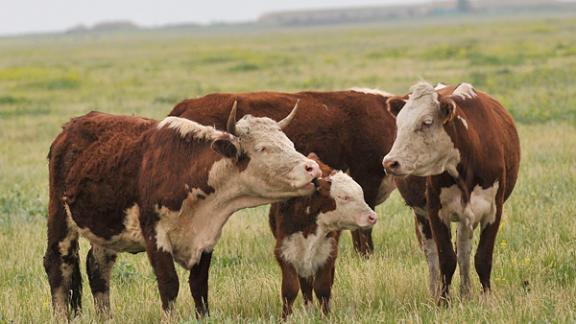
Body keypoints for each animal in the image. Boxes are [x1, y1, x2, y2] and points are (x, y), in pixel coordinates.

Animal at [44, 102, 324, 318]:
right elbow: (169, 285)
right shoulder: (155, 236)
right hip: (60, 218)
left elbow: (199, 286)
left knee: (98, 268)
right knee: (59, 265)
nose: (312, 168)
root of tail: (69, 129)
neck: (184, 167)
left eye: (289, 143)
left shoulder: (206, 237)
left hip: (106, 228)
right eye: (263, 148)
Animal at [270, 153, 378, 318]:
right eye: (344, 197)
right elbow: (290, 290)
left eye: (361, 194)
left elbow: (323, 288)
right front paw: (285, 317)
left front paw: (326, 316)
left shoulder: (328, 254)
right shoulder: (285, 252)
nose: (372, 217)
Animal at [382, 81, 520, 302]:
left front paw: (487, 298)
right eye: (399, 124)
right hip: (422, 216)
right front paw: (443, 301)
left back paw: (466, 293)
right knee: (432, 255)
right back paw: (435, 291)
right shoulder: (435, 212)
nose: (389, 162)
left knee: (463, 250)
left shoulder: (493, 210)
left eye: (427, 122)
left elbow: (482, 257)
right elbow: (446, 259)